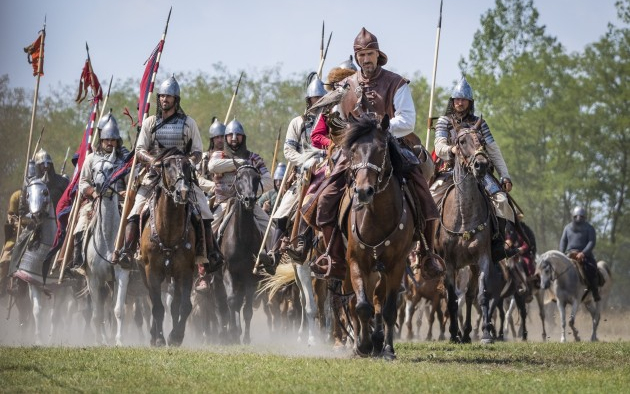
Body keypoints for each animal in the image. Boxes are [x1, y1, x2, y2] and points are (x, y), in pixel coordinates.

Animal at [140, 147, 195, 344]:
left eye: (188, 165)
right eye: (167, 165)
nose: (183, 192)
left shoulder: (186, 272)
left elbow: (185, 306)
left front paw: (176, 336)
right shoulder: (152, 271)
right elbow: (157, 307)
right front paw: (159, 339)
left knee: (175, 304)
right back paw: (153, 335)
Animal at [340, 114, 414, 360]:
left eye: (381, 150)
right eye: (353, 151)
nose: (363, 192)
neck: (376, 216)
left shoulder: (396, 265)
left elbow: (388, 309)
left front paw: (387, 348)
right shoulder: (356, 261)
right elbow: (361, 306)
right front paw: (362, 345)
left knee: (378, 300)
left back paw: (378, 341)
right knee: (356, 302)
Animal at [434, 118, 498, 344]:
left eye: (482, 140)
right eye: (461, 141)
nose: (481, 164)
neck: (464, 215)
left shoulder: (482, 258)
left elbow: (482, 295)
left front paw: (486, 333)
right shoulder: (449, 263)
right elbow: (452, 298)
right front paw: (453, 333)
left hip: (471, 266)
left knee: (470, 296)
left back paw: (468, 333)